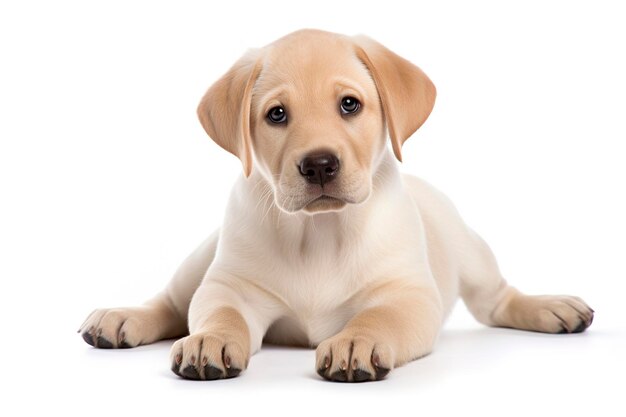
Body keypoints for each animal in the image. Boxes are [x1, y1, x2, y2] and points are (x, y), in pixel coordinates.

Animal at [80, 28, 592, 380]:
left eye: (349, 105)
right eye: (276, 114)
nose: (320, 164)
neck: (319, 232)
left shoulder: (408, 294)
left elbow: (378, 314)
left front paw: (355, 342)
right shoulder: (233, 286)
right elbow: (221, 312)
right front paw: (208, 339)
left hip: (471, 252)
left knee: (496, 300)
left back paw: (551, 307)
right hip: (203, 257)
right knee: (171, 302)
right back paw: (122, 318)